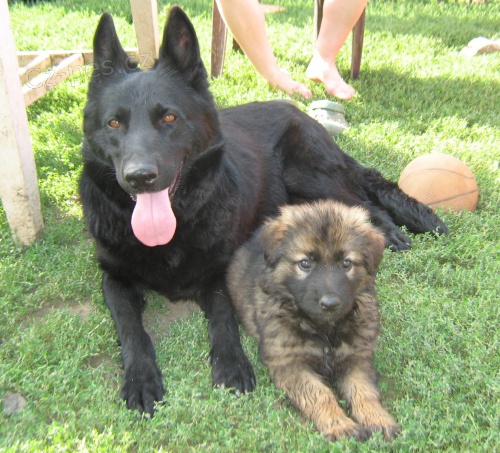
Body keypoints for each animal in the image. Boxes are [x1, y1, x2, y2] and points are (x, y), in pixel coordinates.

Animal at [78, 6, 447, 416]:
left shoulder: (218, 273)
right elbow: (131, 329)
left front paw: (232, 363)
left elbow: (224, 318)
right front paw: (141, 378)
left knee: (364, 200)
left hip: (305, 174)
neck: (175, 230)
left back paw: (390, 231)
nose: (139, 178)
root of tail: (300, 113)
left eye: (169, 118)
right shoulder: (114, 279)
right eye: (114, 123)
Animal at [227, 200, 401, 442]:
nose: (330, 304)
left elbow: (364, 392)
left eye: (346, 263)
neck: (324, 329)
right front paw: (340, 425)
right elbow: (320, 394)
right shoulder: (289, 363)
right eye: (305, 263)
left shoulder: (356, 358)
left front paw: (377, 418)